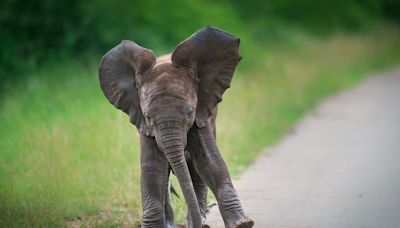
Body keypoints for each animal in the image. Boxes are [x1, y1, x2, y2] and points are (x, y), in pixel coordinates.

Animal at [99, 27, 255, 228]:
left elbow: (209, 160)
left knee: (195, 171)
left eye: (190, 113)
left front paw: (242, 224)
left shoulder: (201, 114)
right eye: (148, 117)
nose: (196, 224)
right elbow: (152, 167)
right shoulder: (142, 122)